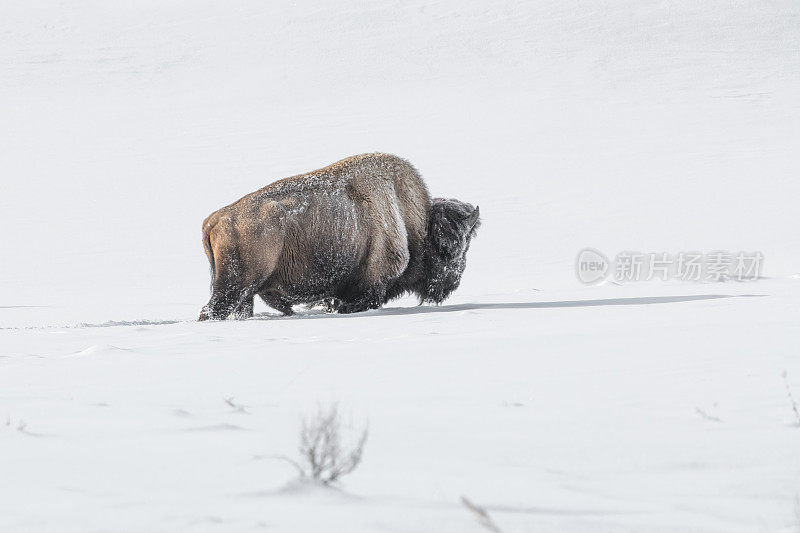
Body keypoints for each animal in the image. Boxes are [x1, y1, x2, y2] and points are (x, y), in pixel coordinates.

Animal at [200, 154, 482, 320]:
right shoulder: (369, 287)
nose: (453, 282)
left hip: (244, 295)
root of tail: (215, 218)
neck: (413, 221)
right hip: (236, 286)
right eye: (454, 248)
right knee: (212, 310)